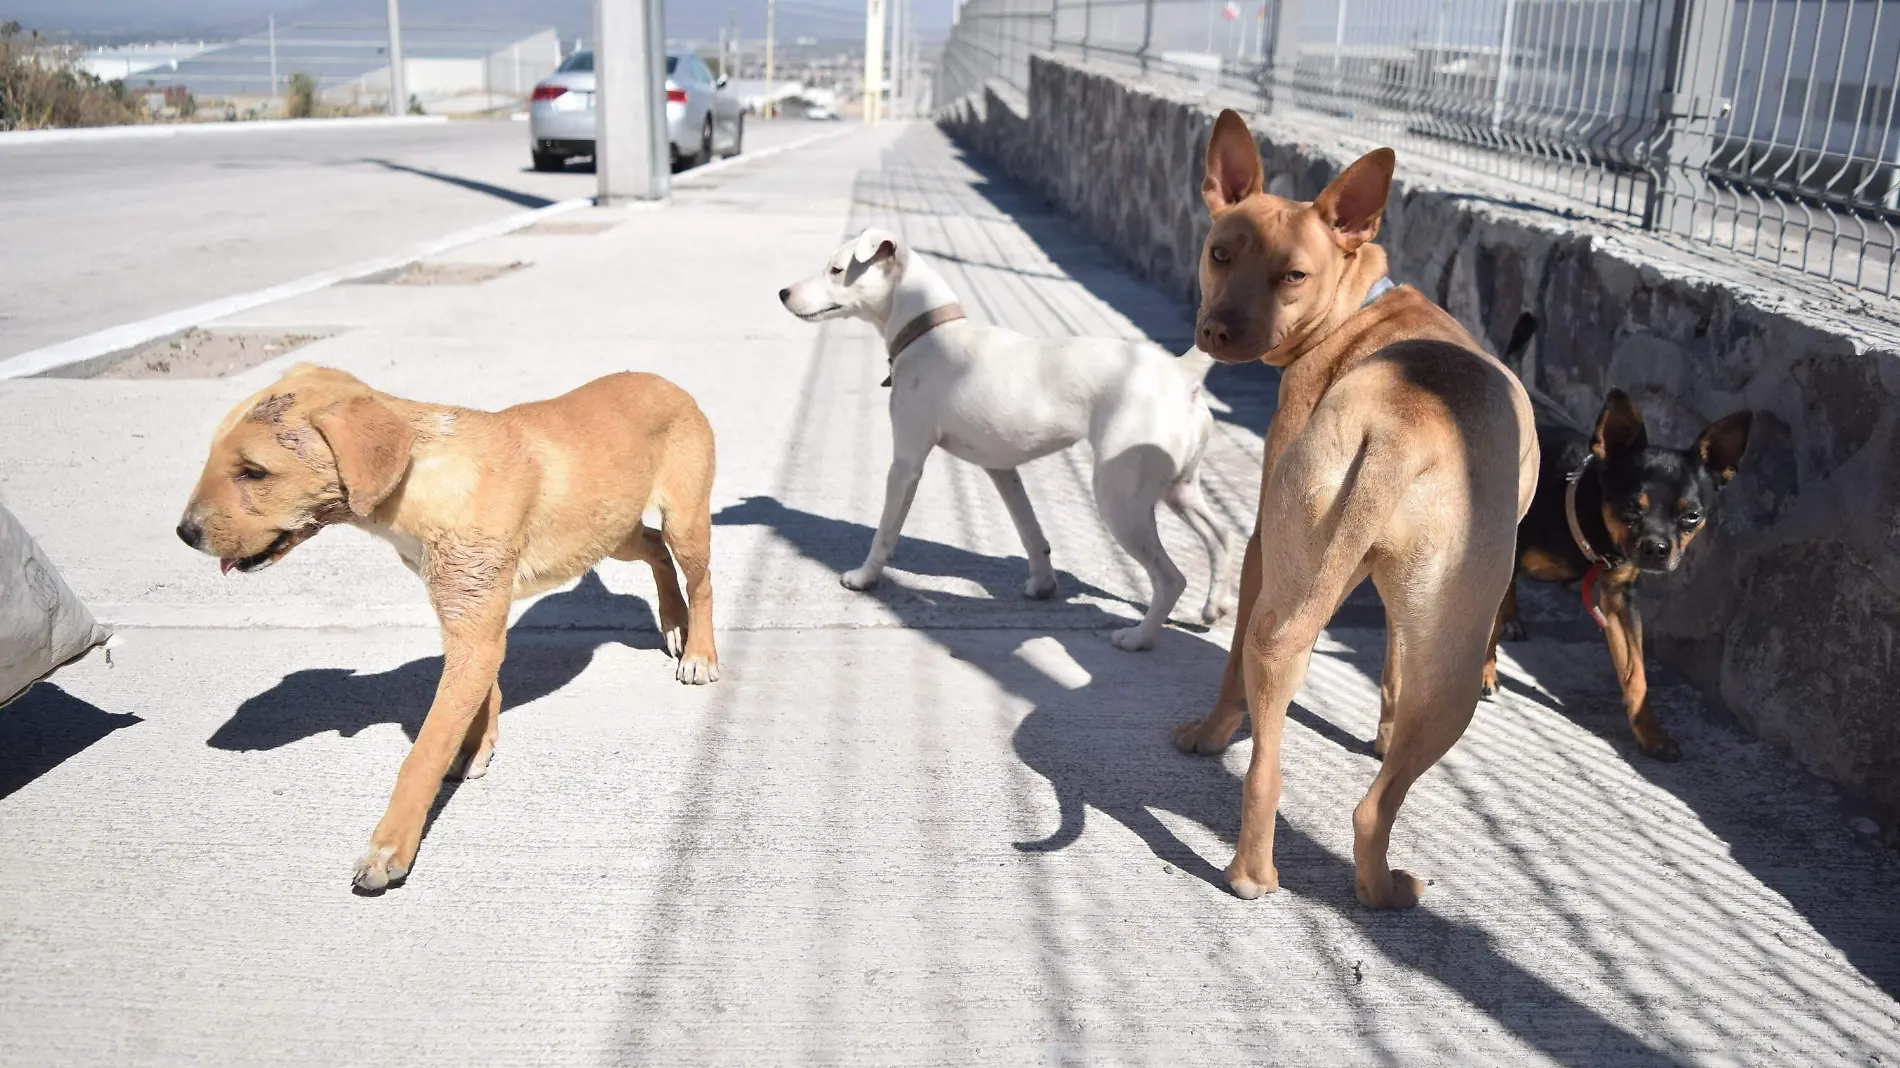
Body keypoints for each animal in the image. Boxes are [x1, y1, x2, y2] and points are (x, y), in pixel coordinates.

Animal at [178, 361, 718, 885]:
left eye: (254, 472)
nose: (184, 534)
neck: (419, 480)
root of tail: (663, 380)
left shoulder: (474, 623)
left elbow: (424, 753)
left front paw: (390, 848)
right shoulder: (468, 618)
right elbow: (483, 695)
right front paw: (478, 745)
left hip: (683, 520)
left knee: (701, 581)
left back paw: (698, 652)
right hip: (609, 530)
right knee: (654, 548)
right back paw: (673, 621)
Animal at [779, 225, 1238, 646]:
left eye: (837, 269)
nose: (783, 292)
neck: (929, 330)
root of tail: (1180, 372)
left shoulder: (906, 462)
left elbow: (885, 531)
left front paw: (864, 578)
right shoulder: (1001, 469)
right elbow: (1031, 532)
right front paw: (1043, 585)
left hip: (1120, 499)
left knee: (1171, 578)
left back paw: (1138, 637)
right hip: (1179, 490)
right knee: (1220, 536)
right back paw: (1213, 607)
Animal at [1162, 112, 1535, 900]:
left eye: (1293, 276)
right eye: (1219, 253)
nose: (1216, 332)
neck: (1361, 307)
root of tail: (1401, 425)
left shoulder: (1263, 550)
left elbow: (1241, 664)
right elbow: (1390, 670)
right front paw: (1384, 733)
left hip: (1297, 587)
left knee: (1267, 748)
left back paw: (1249, 865)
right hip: (1451, 677)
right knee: (1373, 807)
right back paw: (1383, 888)